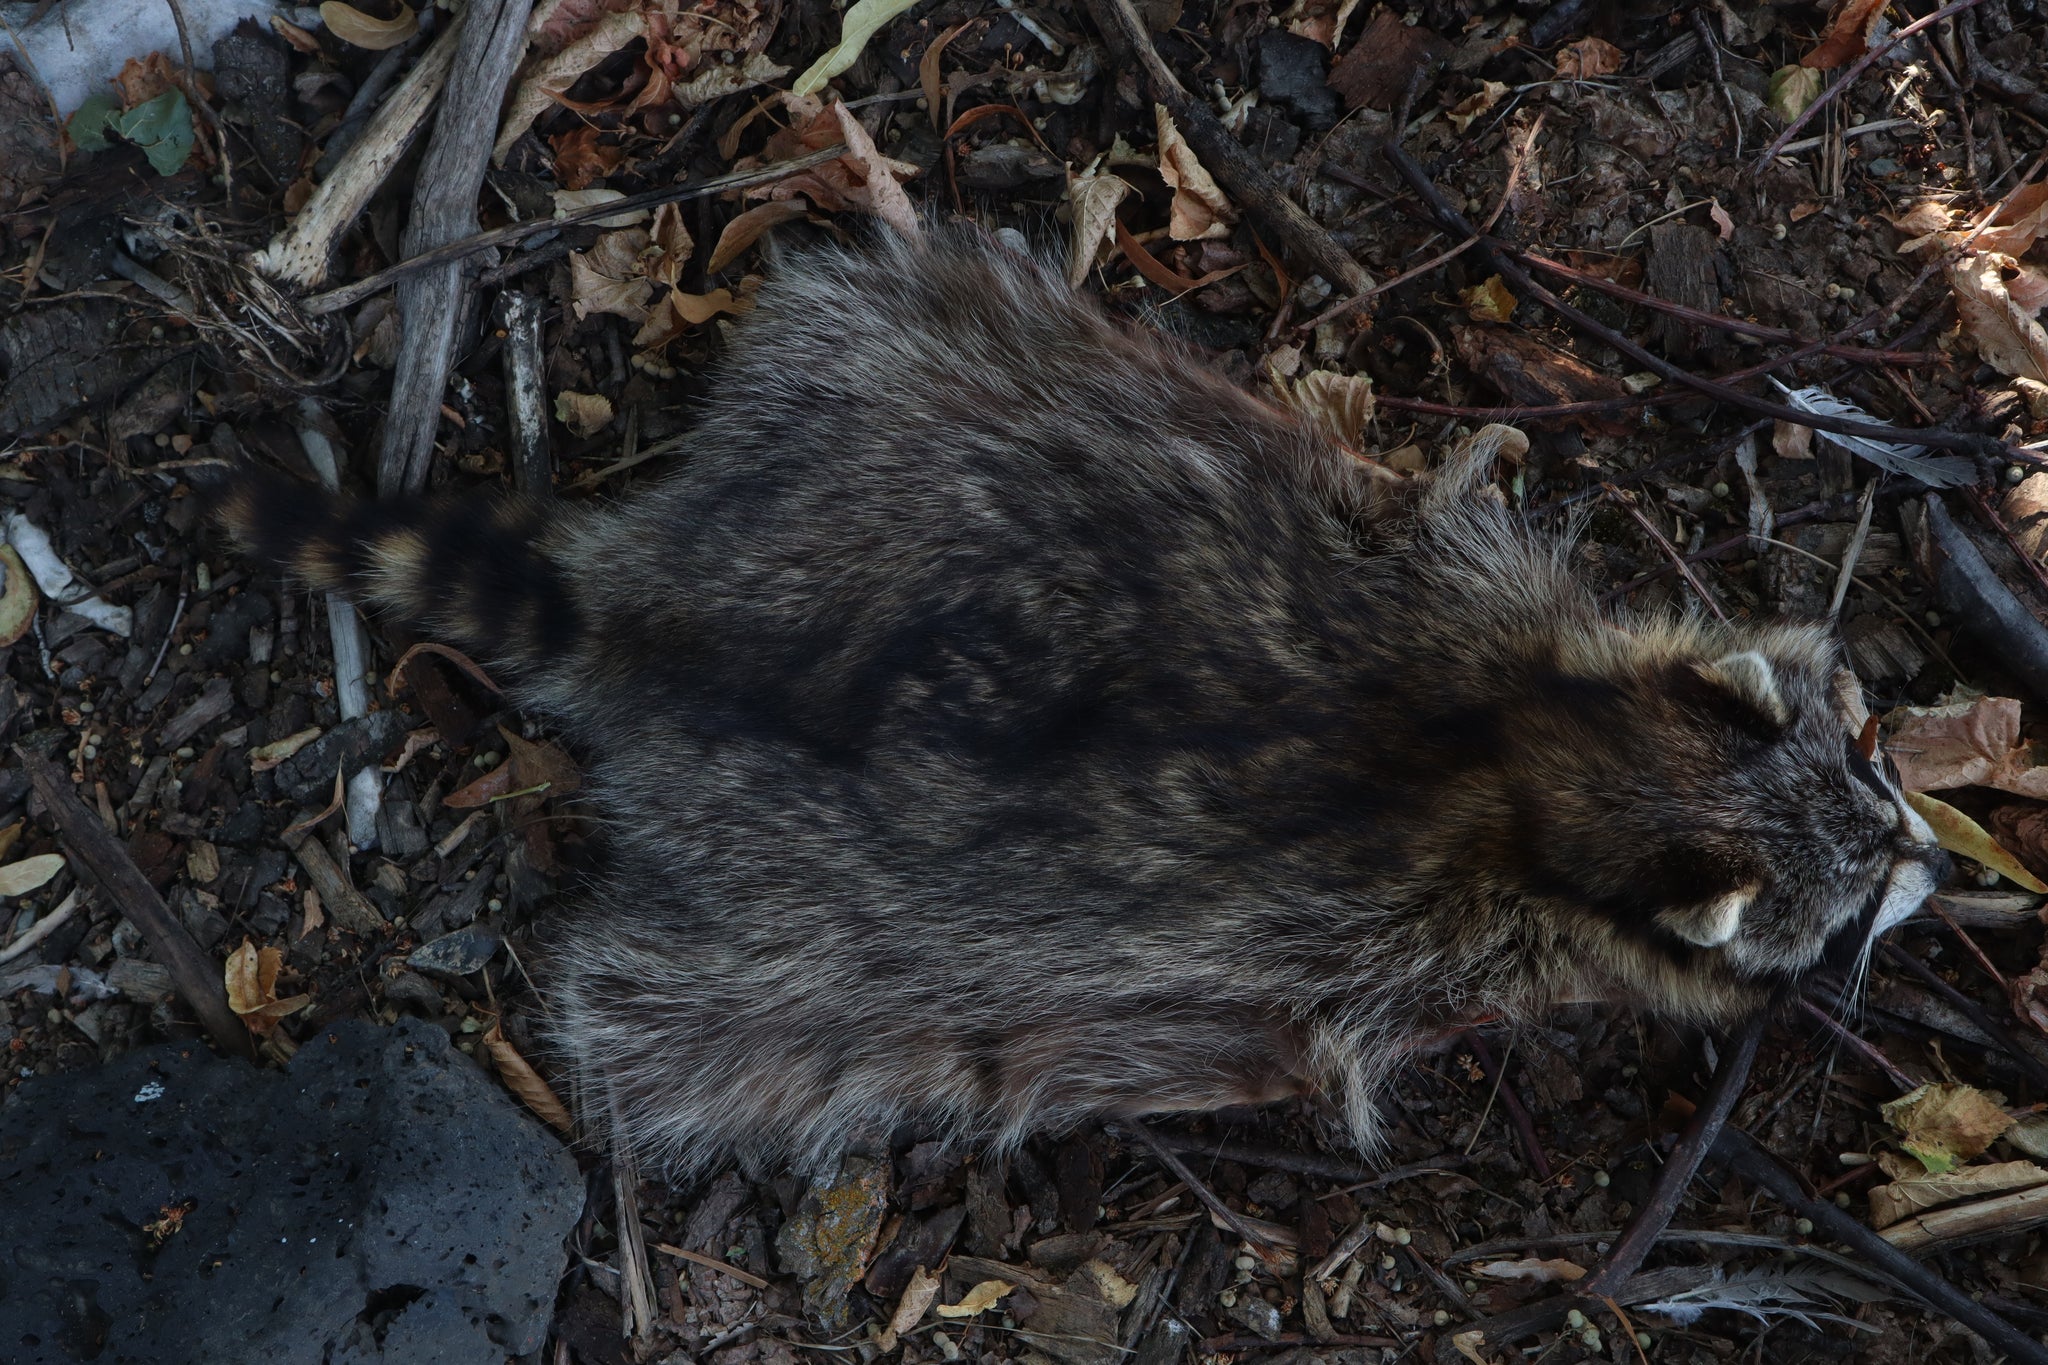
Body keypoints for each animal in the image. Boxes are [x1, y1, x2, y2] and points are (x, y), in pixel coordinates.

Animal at [216, 227, 1941, 1178]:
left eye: (1864, 752)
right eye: (1845, 906)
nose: (1926, 848)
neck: (1537, 760)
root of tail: (676, 612)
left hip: (889, 382)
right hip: (802, 972)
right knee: (691, 1027)